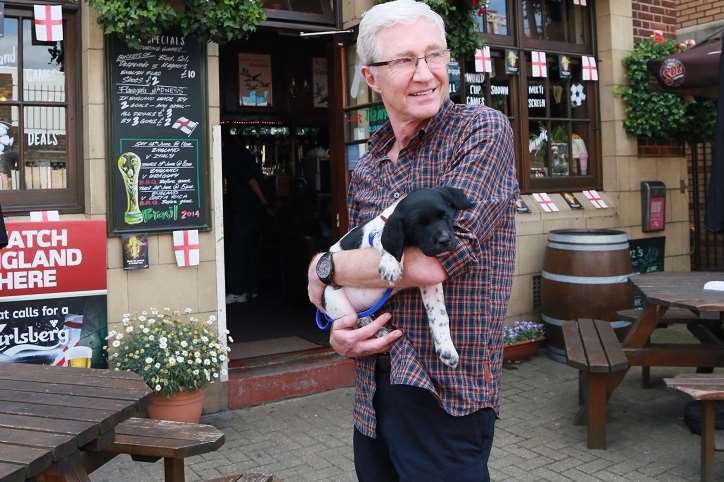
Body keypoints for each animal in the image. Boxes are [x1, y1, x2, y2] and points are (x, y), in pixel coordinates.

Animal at [320, 186, 472, 368]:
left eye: (445, 216)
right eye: (418, 225)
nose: (444, 240)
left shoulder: (429, 284)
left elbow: (440, 315)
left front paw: (446, 348)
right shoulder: (373, 237)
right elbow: (382, 240)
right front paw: (391, 263)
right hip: (336, 302)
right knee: (356, 320)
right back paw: (376, 329)